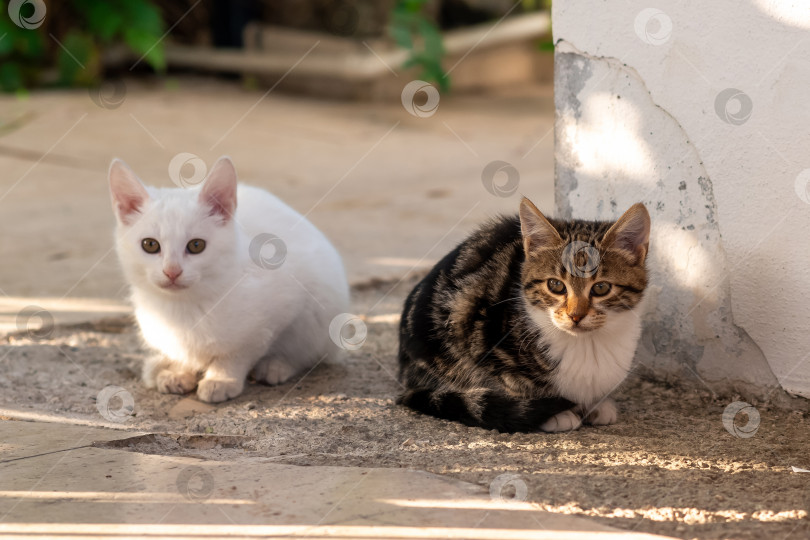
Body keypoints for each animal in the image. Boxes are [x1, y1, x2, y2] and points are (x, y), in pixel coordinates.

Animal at [108, 155, 348, 400]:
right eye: (150, 245)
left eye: (196, 245)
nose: (172, 271)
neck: (184, 307)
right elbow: (183, 352)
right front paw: (179, 371)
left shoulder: (282, 308)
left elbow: (240, 351)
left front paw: (221, 378)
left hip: (323, 307)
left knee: (310, 351)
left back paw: (276, 366)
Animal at [398, 196, 652, 432]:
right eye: (555, 285)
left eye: (601, 288)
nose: (575, 316)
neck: (587, 343)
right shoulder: (483, 336)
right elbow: (511, 384)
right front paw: (555, 413)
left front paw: (597, 404)